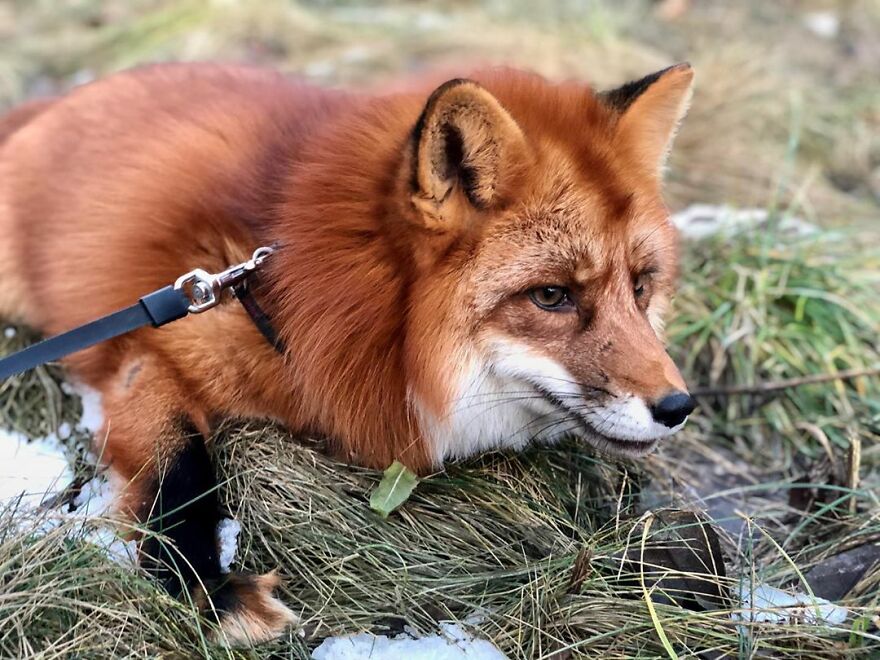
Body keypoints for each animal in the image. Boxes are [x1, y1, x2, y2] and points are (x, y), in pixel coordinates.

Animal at [0, 62, 696, 642]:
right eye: (552, 295)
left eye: (640, 286)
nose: (678, 407)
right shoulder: (148, 350)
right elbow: (181, 467)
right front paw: (208, 589)